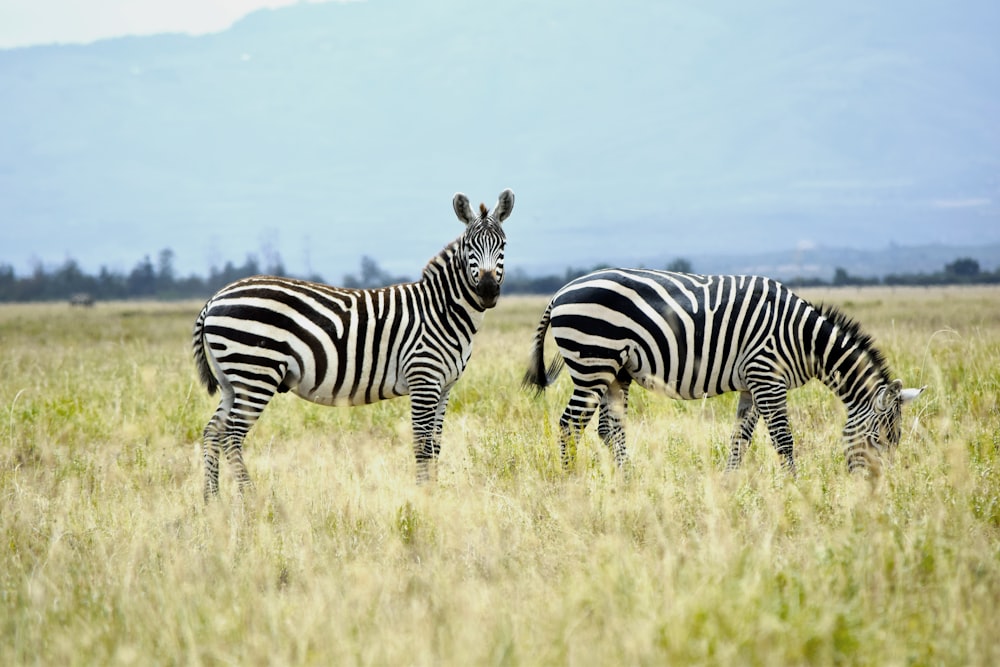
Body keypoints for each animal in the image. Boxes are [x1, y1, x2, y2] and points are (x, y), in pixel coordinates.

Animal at [193, 190, 516, 498]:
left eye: (502, 245)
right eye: (470, 247)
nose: (488, 290)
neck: (441, 309)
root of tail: (214, 298)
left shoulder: (445, 386)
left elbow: (435, 445)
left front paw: (434, 494)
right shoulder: (423, 379)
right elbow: (422, 445)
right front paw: (424, 497)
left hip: (233, 381)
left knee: (212, 432)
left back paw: (212, 501)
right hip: (256, 373)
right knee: (232, 436)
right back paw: (251, 499)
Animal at [528, 270, 924, 474]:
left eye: (895, 441)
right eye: (877, 439)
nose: (876, 490)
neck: (803, 338)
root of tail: (561, 292)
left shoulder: (754, 384)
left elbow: (741, 438)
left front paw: (730, 483)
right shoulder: (767, 377)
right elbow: (783, 439)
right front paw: (793, 488)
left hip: (615, 371)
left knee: (609, 429)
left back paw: (629, 480)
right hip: (593, 362)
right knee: (570, 424)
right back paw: (571, 481)